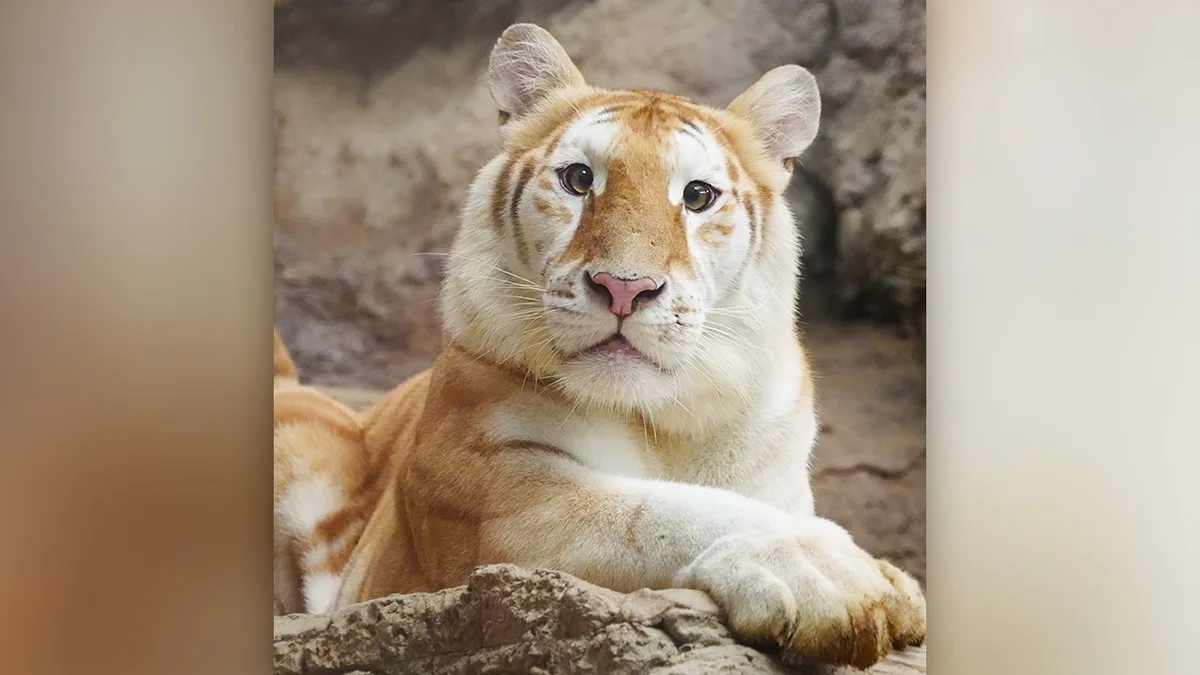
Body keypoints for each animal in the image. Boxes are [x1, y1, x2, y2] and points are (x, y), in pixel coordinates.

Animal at [273, 23, 926, 669]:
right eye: (579, 179)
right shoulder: (495, 497)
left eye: (697, 196)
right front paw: (833, 575)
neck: (667, 421)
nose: (624, 288)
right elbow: (659, 511)